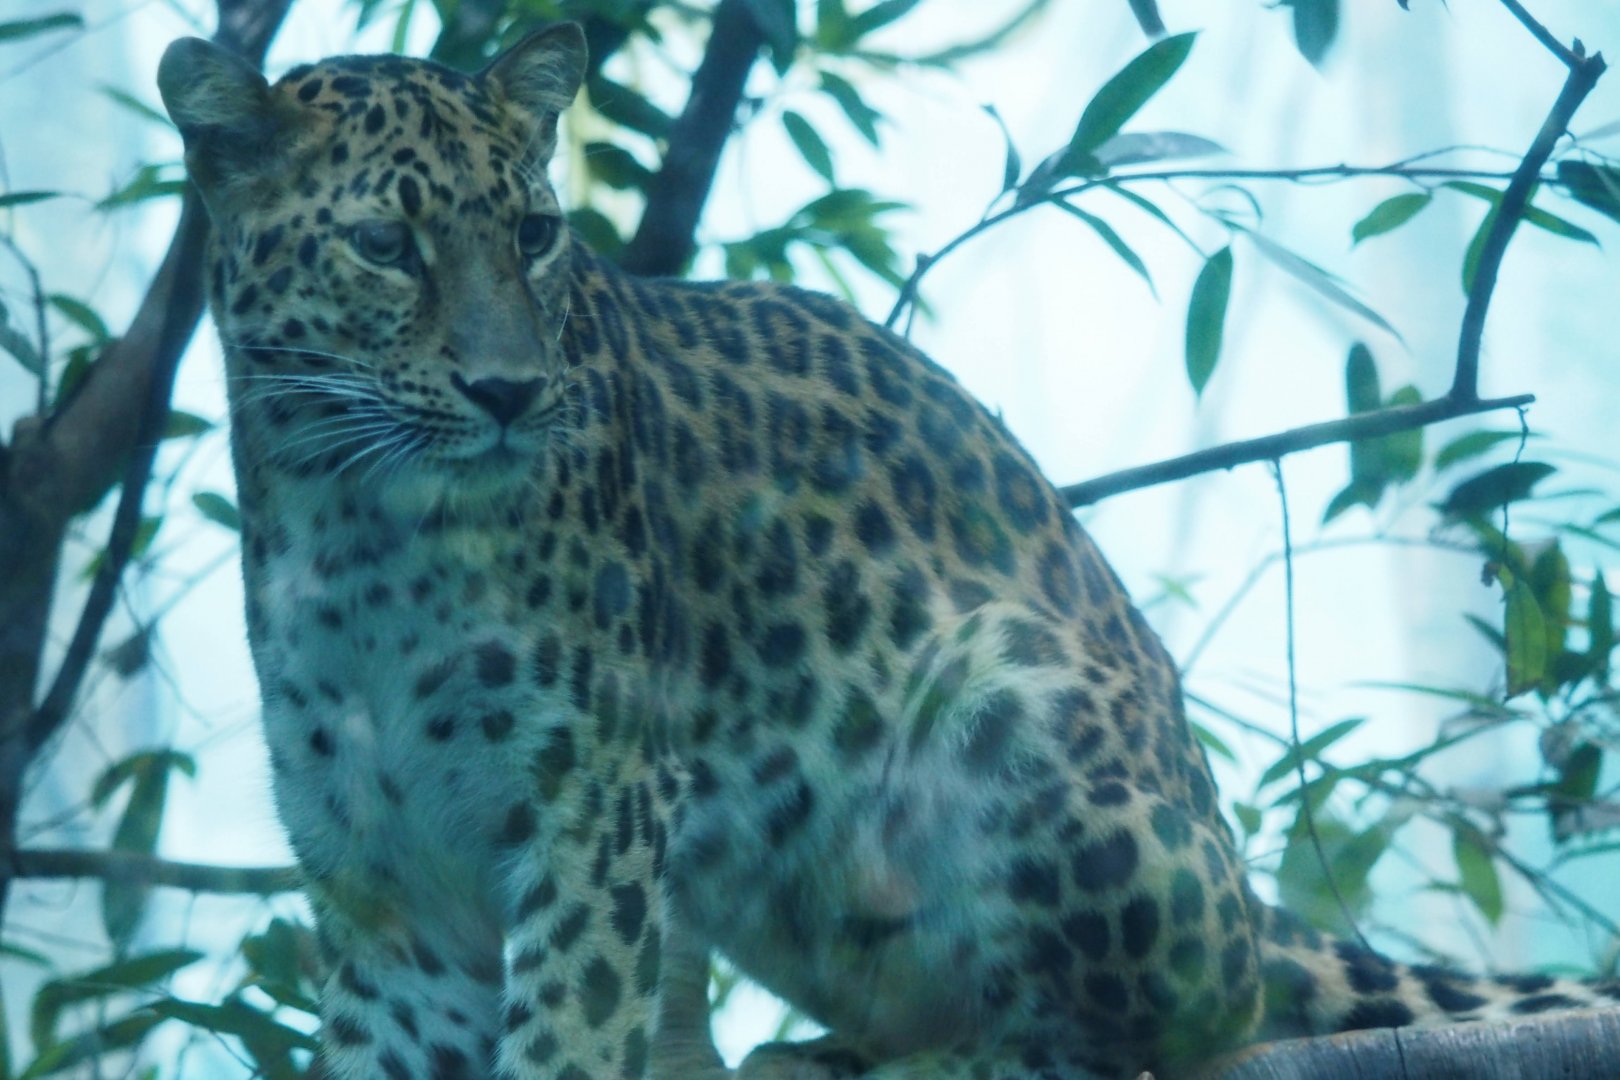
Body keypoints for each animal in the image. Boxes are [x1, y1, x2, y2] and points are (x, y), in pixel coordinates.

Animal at [156, 22, 1620, 1080]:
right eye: (382, 246)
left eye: (533, 233)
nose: (511, 392)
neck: (353, 525)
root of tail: (1246, 892)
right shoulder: (383, 887)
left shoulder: (593, 811)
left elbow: (570, 1031)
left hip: (998, 694)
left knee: (1173, 1027)